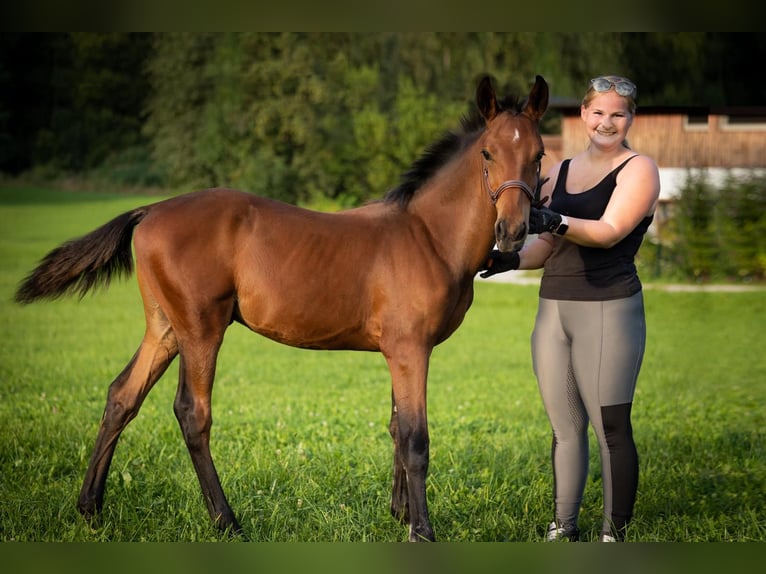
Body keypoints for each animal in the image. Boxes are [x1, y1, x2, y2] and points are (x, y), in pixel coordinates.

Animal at [15, 74, 548, 544]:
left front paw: (399, 515)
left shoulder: (398, 351)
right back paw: (226, 522)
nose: (512, 233)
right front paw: (422, 531)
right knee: (192, 412)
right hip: (200, 330)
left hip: (165, 328)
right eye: (487, 152)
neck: (428, 236)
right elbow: (416, 439)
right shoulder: (411, 349)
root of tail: (150, 210)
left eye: (538, 155)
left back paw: (90, 509)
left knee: (122, 396)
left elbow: (397, 427)